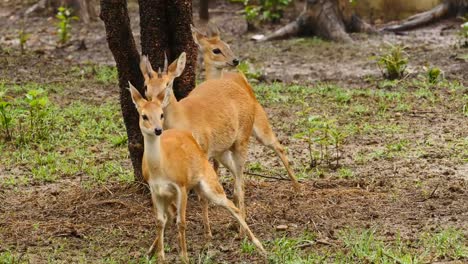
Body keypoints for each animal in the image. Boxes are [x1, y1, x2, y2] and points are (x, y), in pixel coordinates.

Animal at [128, 83, 266, 262]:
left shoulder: (181, 187)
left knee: (231, 203)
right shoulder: (155, 191)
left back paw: (258, 246)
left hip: (210, 183)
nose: (158, 130)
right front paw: (160, 258)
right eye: (144, 116)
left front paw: (185, 258)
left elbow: (181, 222)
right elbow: (159, 221)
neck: (161, 167)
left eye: (161, 114)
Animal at [139, 51, 258, 227]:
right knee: (237, 180)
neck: (182, 119)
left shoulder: (204, 153)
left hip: (242, 140)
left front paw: (207, 231)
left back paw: (241, 229)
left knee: (239, 183)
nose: (155, 103)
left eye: (167, 84)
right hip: (221, 152)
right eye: (146, 85)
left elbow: (202, 197)